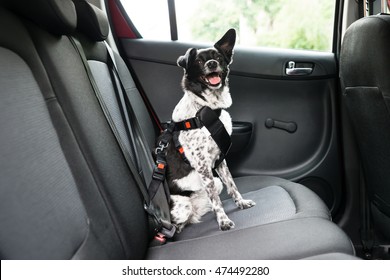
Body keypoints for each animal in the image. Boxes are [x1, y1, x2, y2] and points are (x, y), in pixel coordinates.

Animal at [162, 28, 256, 233]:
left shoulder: (220, 159)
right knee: (174, 226)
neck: (206, 108)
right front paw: (223, 221)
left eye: (218, 57)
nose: (212, 64)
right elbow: (217, 200)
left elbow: (232, 184)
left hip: (213, 184)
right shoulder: (203, 165)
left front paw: (241, 202)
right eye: (198, 61)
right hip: (183, 206)